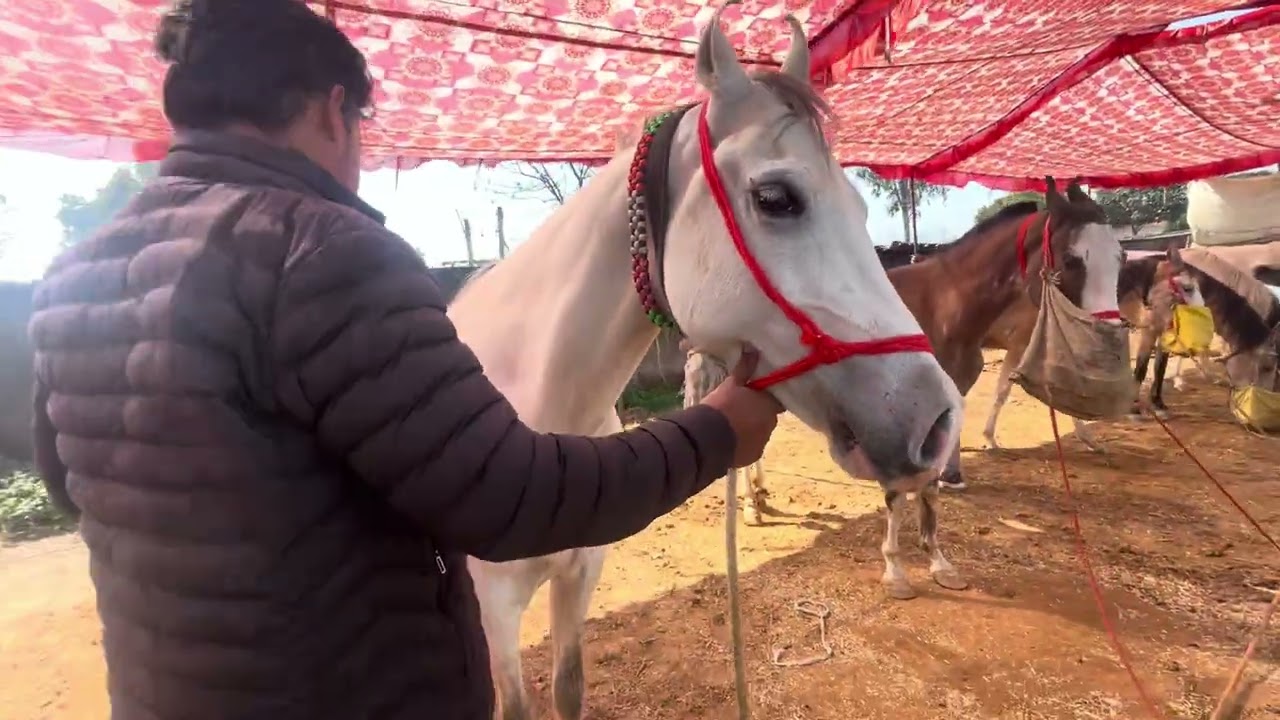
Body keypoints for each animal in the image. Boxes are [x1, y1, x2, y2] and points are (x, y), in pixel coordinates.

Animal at [444, 8, 964, 719]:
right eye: (777, 198)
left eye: (862, 209)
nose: (938, 421)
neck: (538, 414)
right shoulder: (493, 616)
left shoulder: (580, 575)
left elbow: (570, 689)